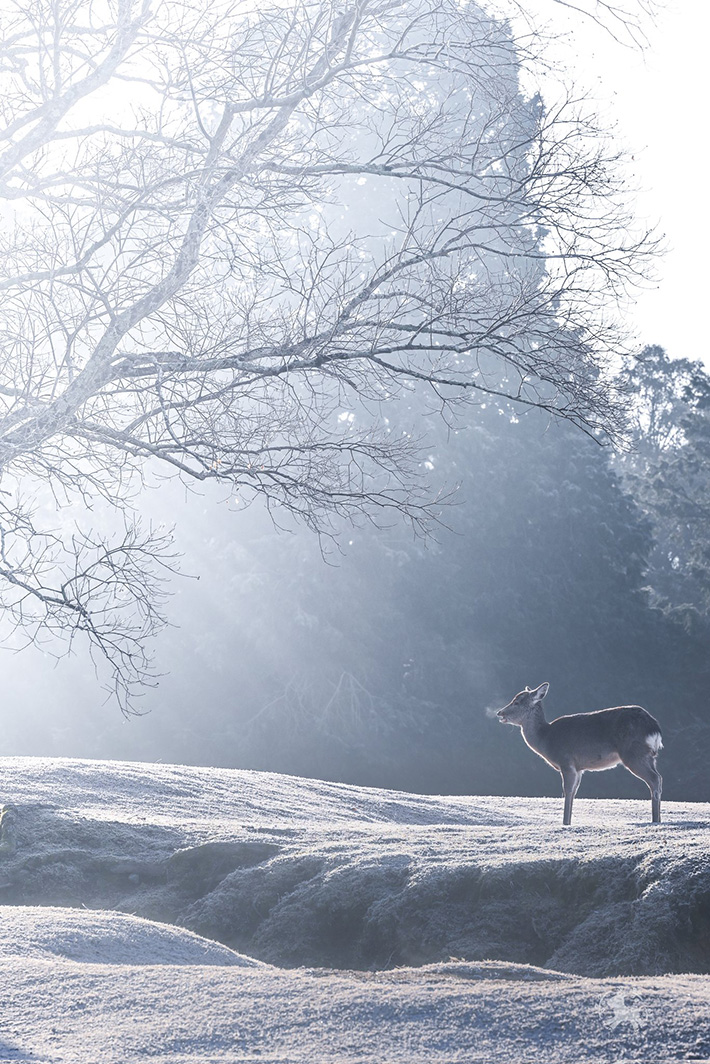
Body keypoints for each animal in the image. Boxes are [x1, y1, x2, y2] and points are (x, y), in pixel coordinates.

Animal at [498, 685, 664, 825]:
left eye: (517, 702)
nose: (500, 712)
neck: (546, 738)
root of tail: (654, 728)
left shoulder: (566, 762)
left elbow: (567, 791)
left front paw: (565, 823)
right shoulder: (579, 769)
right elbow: (573, 793)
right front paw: (568, 822)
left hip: (634, 753)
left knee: (655, 779)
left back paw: (655, 820)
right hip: (650, 756)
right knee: (659, 777)